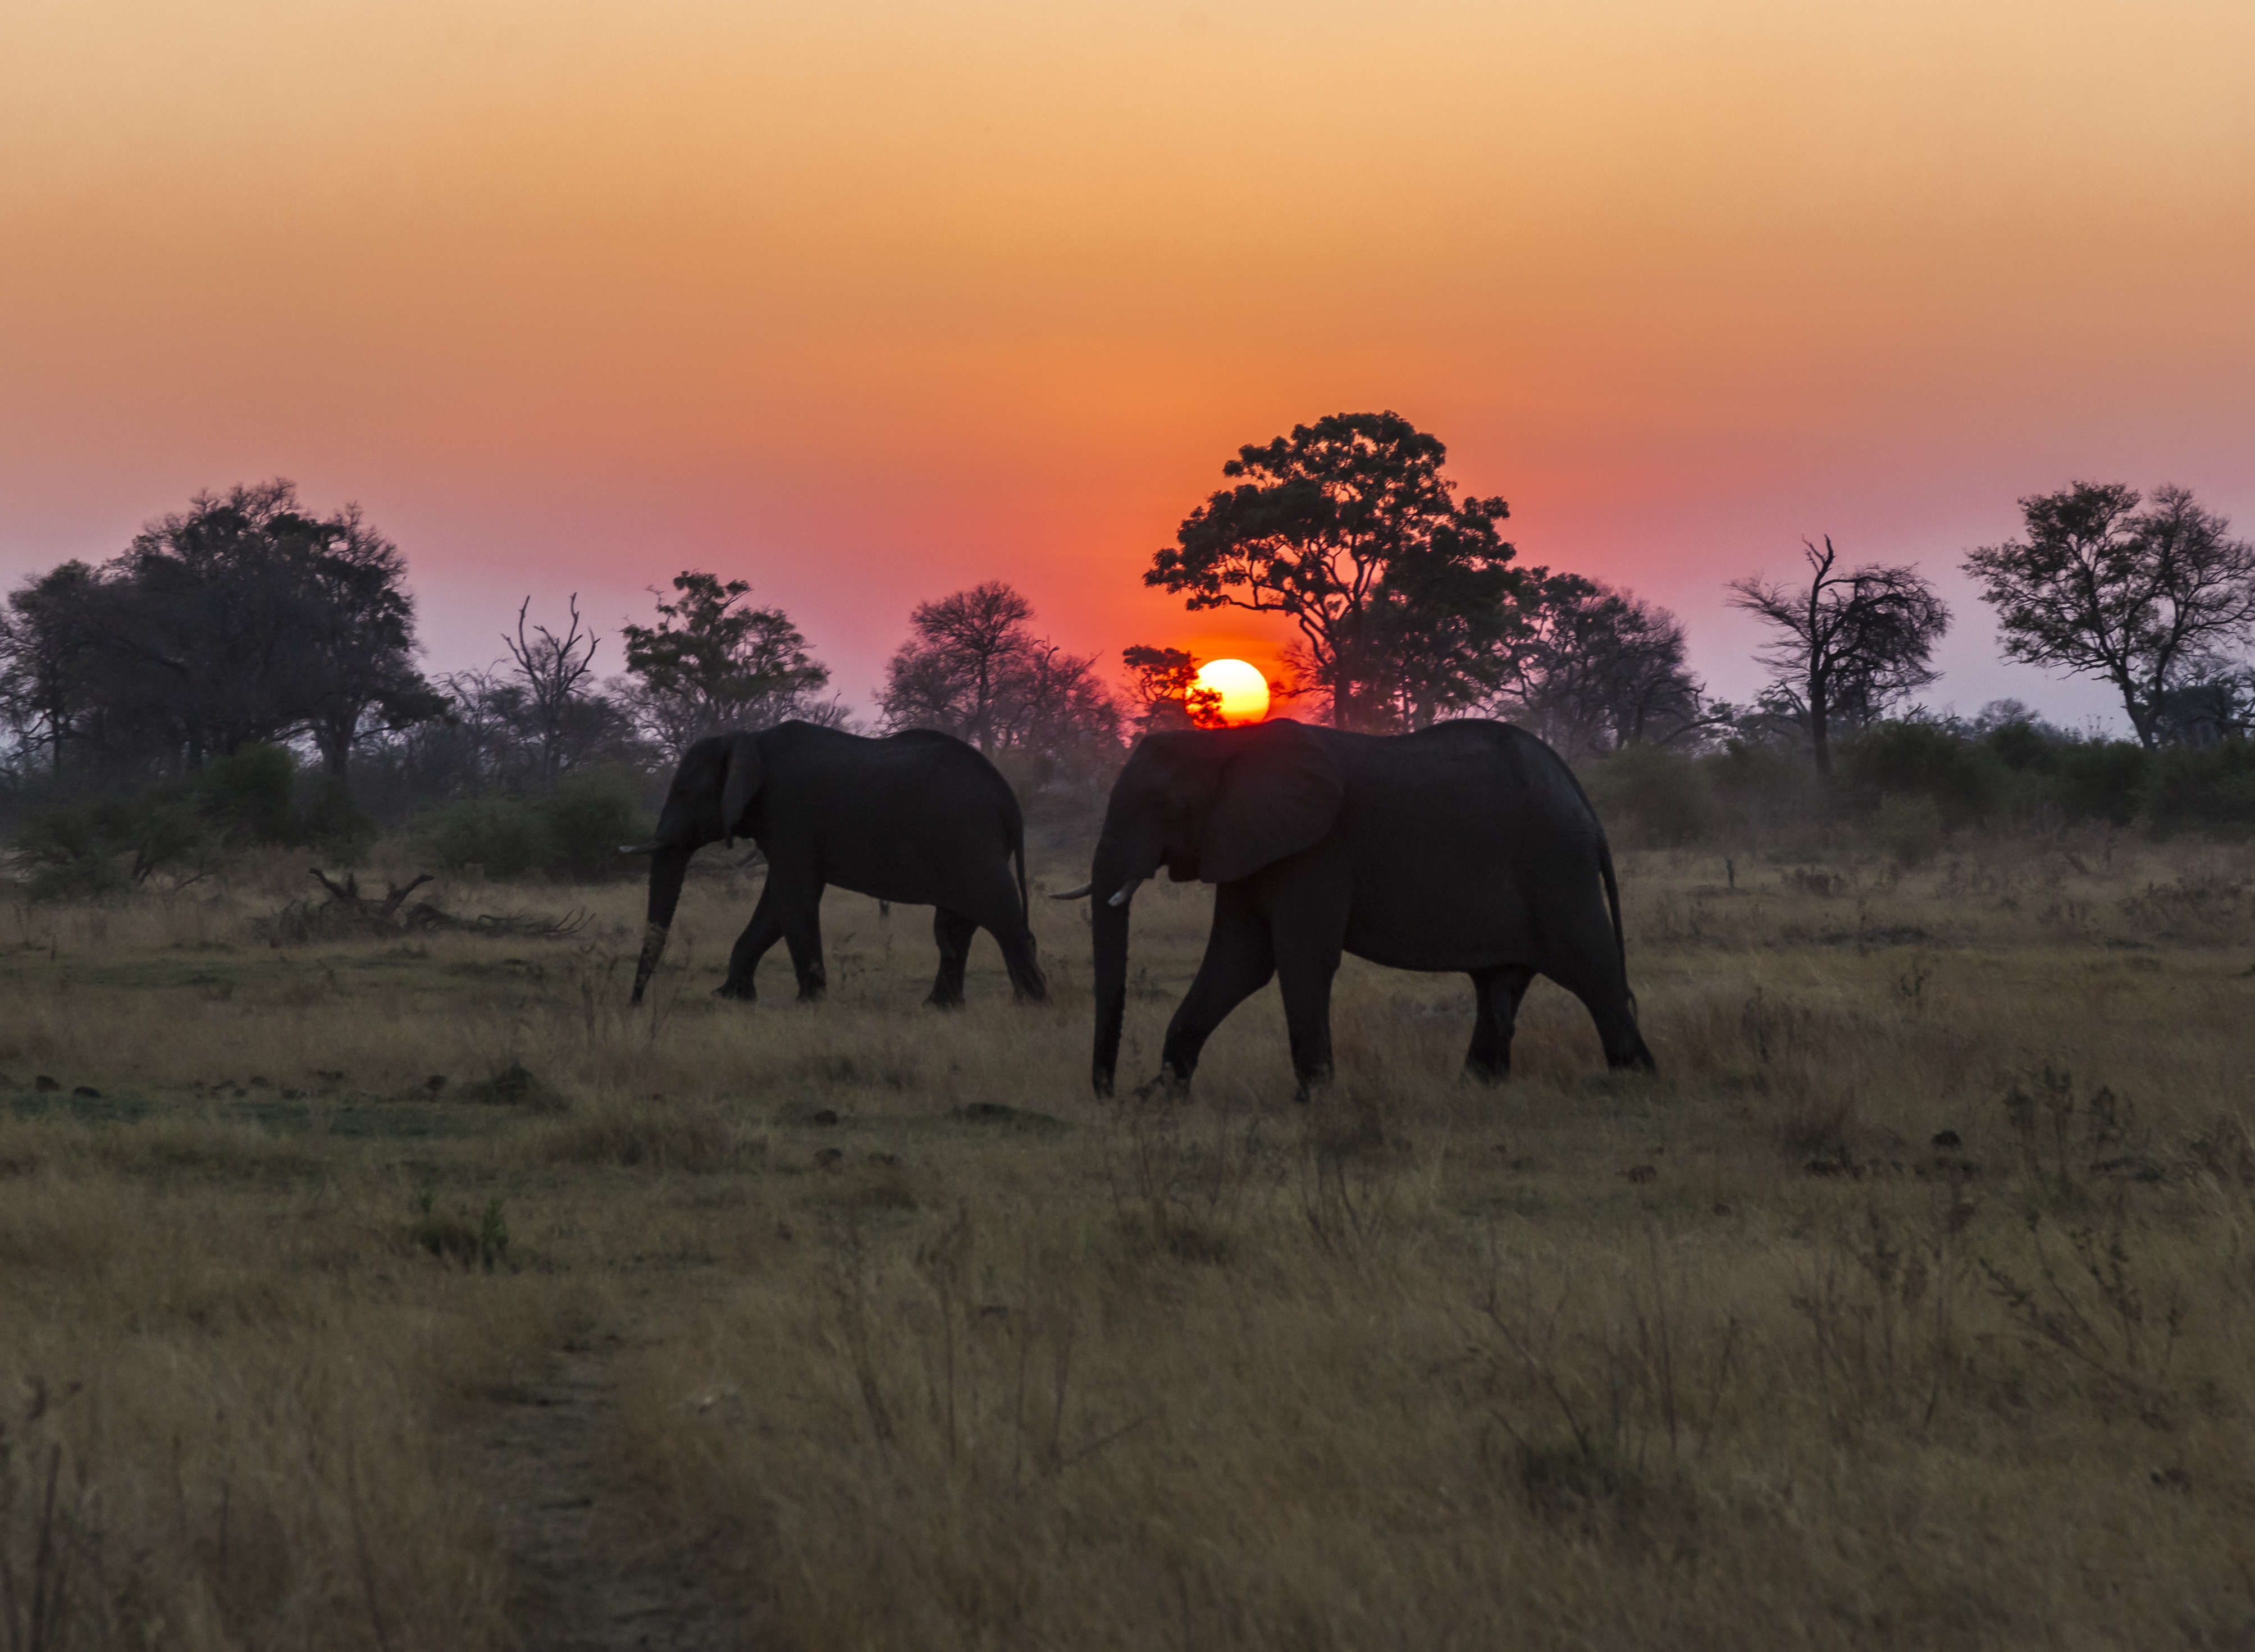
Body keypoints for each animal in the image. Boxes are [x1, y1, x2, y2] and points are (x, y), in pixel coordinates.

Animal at [618, 721, 1037, 1005]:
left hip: (970, 838)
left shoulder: (790, 814)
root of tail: (1009, 799)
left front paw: (809, 1002)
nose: (635, 1002)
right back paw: (939, 1008)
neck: (749, 739)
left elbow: (793, 897)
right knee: (954, 924)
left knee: (1000, 914)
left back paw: (1032, 1004)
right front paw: (730, 997)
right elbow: (776, 904)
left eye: (684, 792)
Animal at [1064, 717, 1650, 1095]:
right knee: (1500, 982)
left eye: (1160, 805)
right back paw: (1475, 1087)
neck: (1226, 744)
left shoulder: (1316, 849)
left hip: (1556, 865)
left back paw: (1635, 1080)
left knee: (1591, 968)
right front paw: (1162, 1094)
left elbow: (1298, 958)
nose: (1108, 1093)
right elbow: (1240, 961)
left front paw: (1315, 1099)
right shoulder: (1247, 844)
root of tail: (1585, 804)